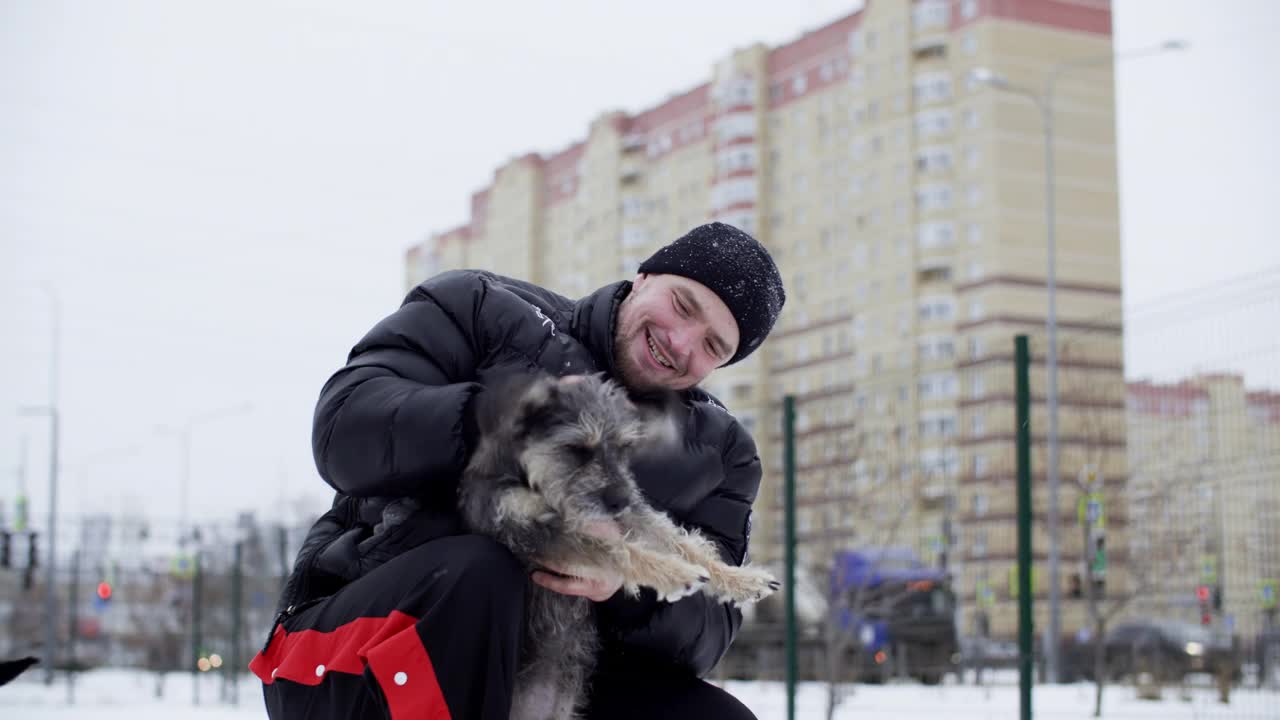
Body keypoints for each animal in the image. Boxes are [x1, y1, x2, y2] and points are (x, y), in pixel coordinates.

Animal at [432, 371, 768, 712]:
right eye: (578, 448)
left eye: (623, 447)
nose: (622, 499)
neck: (534, 480)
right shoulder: (534, 530)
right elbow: (620, 552)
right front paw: (674, 574)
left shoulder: (628, 517)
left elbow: (682, 543)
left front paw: (741, 579)